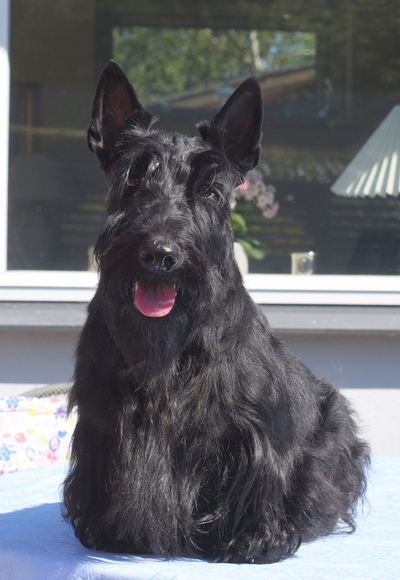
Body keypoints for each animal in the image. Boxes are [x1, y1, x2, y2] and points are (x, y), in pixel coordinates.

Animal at [63, 61, 368, 564]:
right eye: (132, 179)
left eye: (209, 190)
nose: (160, 254)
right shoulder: (101, 420)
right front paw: (109, 532)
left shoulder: (252, 433)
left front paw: (254, 540)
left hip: (334, 423)